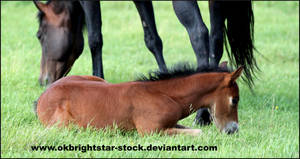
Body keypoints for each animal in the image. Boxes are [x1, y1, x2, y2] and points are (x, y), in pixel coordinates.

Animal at [35, 62, 243, 136]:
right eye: (235, 100)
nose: (233, 130)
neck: (166, 95)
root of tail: (42, 96)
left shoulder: (171, 124)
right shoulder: (151, 131)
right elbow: (199, 133)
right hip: (63, 126)